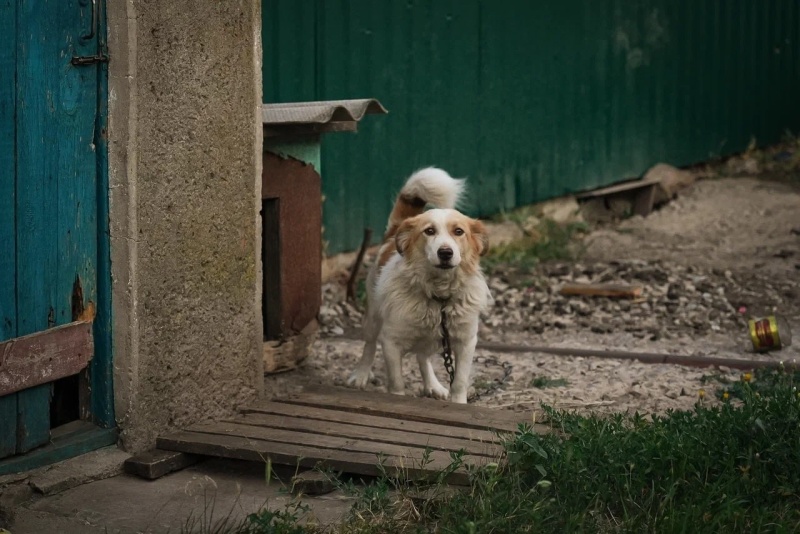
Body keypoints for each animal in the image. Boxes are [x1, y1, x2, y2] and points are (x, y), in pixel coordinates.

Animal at [346, 170, 490, 404]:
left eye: (459, 231)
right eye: (429, 231)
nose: (445, 253)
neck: (438, 296)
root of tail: (395, 230)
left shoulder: (466, 342)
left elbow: (459, 382)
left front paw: (459, 403)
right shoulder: (391, 342)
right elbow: (396, 382)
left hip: (433, 339)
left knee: (423, 357)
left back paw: (433, 385)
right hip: (373, 318)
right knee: (369, 346)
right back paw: (360, 375)